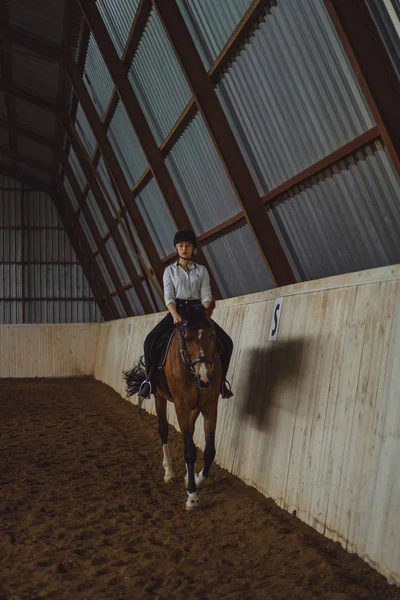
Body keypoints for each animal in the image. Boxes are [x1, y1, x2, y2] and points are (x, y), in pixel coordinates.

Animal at [123, 304, 220, 510]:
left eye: (212, 335)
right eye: (187, 338)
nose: (204, 377)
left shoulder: (209, 405)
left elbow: (209, 451)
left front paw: (196, 479)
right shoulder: (181, 405)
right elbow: (189, 452)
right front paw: (192, 496)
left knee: (188, 431)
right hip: (159, 396)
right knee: (163, 429)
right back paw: (169, 472)